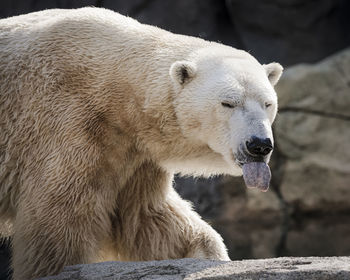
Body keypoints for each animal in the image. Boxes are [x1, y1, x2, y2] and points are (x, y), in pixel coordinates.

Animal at [0, 7, 284, 280]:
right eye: (228, 103)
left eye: (267, 103)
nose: (258, 145)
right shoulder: (68, 124)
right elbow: (57, 223)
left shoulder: (136, 151)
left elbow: (148, 218)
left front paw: (205, 254)